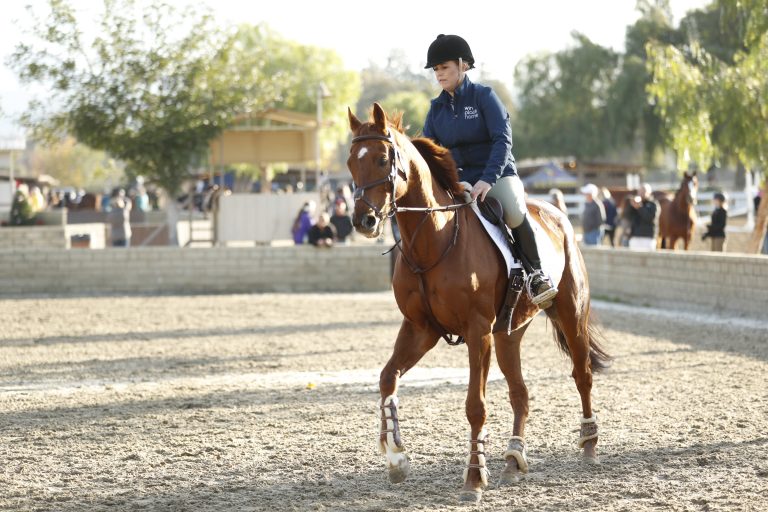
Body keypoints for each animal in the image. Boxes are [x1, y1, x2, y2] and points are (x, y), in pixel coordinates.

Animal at [348, 102, 612, 502]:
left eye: (381, 159)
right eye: (351, 162)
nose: (363, 220)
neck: (434, 240)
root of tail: (559, 215)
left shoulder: (477, 332)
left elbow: (476, 406)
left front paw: (473, 479)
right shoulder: (421, 329)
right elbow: (386, 379)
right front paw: (396, 458)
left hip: (569, 314)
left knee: (582, 374)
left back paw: (589, 445)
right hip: (507, 335)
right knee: (520, 393)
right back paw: (513, 460)